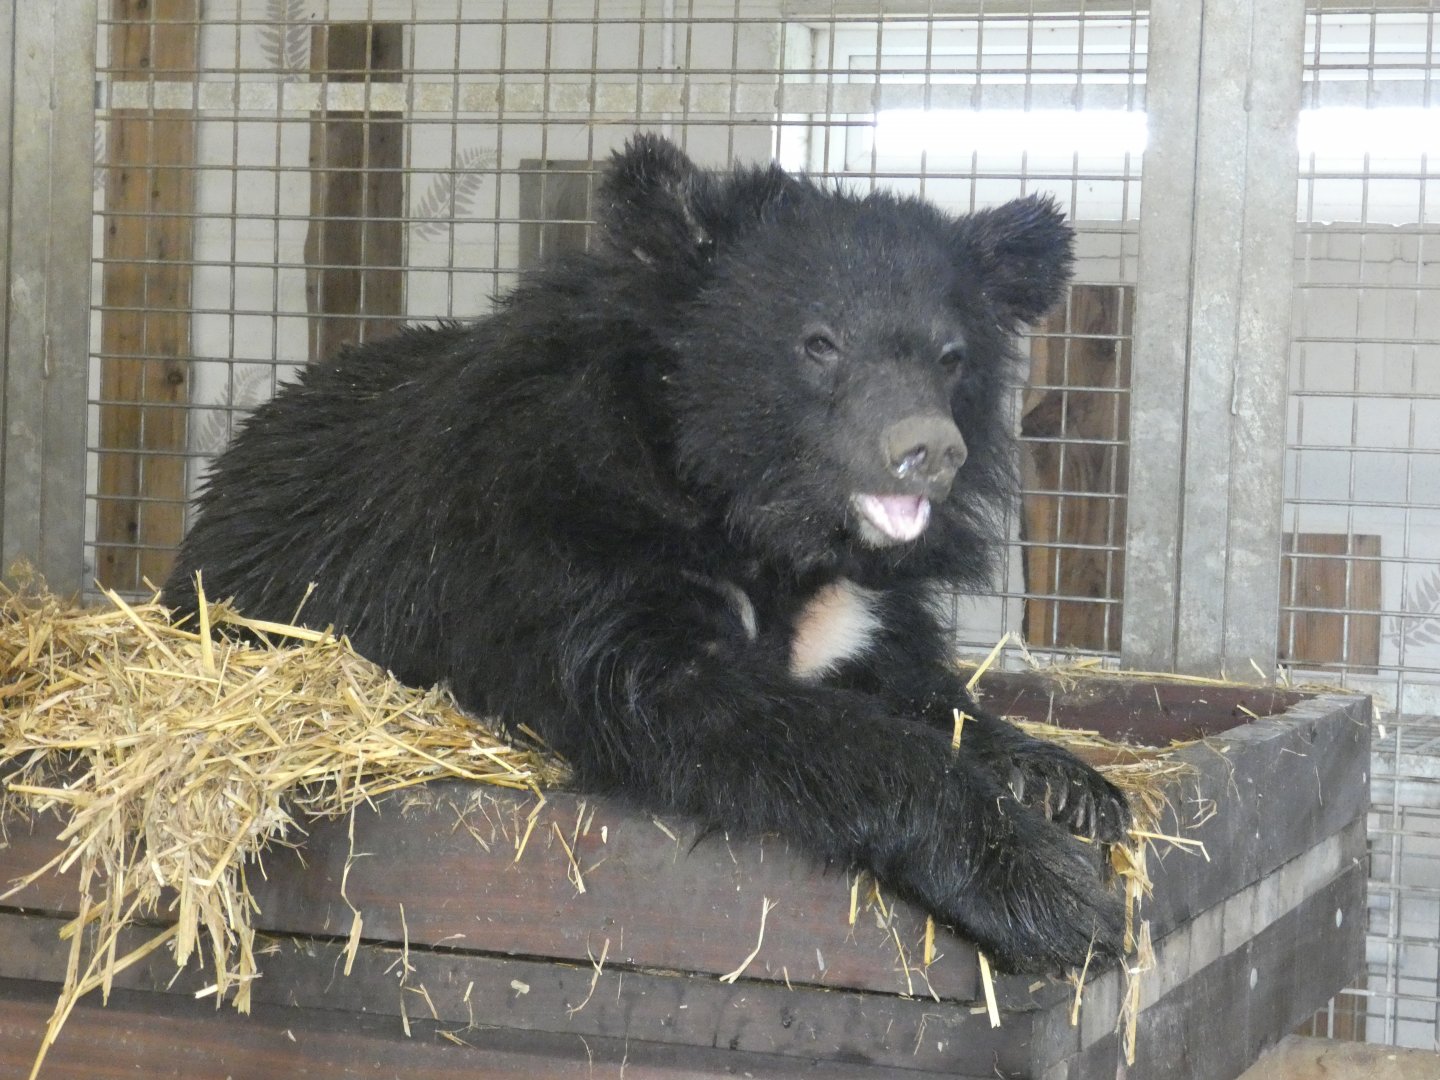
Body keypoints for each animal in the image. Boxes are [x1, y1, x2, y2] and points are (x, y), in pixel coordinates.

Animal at [165, 134, 1130, 974]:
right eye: (819, 343)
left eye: (951, 357)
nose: (929, 450)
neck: (760, 522)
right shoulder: (572, 550)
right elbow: (734, 714)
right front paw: (1051, 889)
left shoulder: (852, 604)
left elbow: (915, 684)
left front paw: (1068, 783)